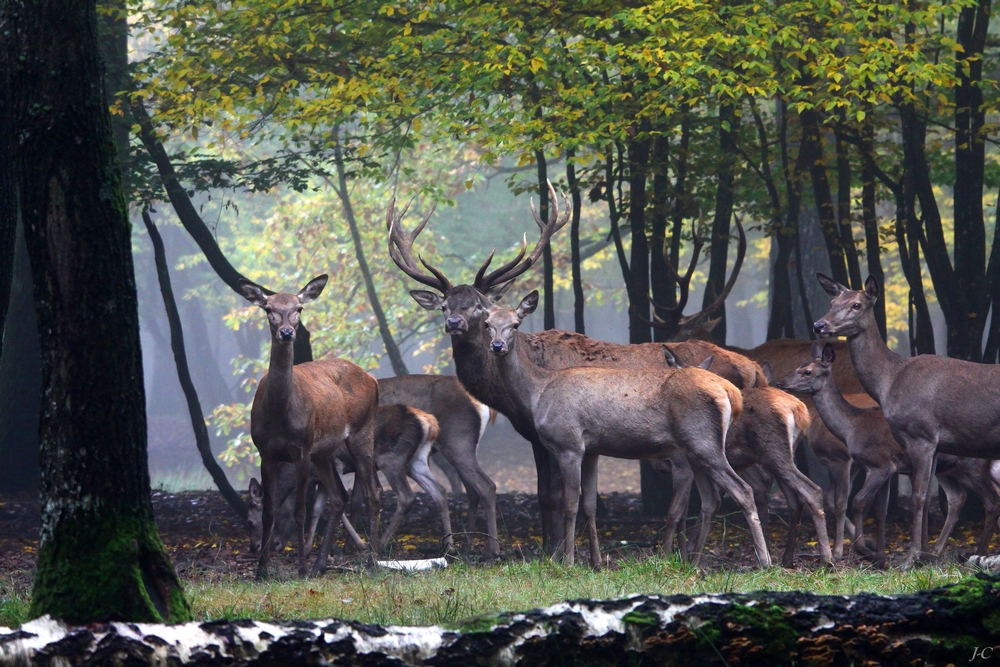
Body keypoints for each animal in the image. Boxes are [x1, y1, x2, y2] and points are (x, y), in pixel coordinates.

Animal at [240, 276, 380, 580]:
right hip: (324, 452)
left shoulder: (302, 449)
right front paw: (261, 571)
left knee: (373, 493)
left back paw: (373, 560)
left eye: (299, 308)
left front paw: (300, 568)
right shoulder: (265, 451)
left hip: (362, 432)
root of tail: (373, 379)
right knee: (339, 497)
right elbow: (269, 512)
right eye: (268, 309)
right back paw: (321, 565)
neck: (279, 415)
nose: (287, 332)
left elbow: (300, 512)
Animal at [484, 292, 772, 568]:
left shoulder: (569, 444)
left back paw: (764, 560)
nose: (497, 346)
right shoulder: (591, 450)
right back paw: (695, 562)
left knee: (743, 490)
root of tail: (731, 393)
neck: (538, 393)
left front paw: (566, 562)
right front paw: (596, 562)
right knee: (711, 497)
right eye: (487, 323)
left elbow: (570, 504)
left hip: (704, 442)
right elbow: (590, 504)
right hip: (695, 450)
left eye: (515, 324)